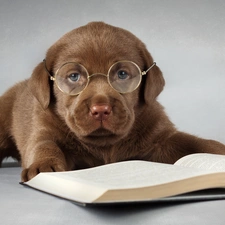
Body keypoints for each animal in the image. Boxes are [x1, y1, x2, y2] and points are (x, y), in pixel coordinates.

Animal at [1, 22, 225, 182]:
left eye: (122, 74)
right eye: (74, 76)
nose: (100, 109)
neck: (105, 145)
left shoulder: (160, 137)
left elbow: (191, 142)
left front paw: (218, 152)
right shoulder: (43, 128)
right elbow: (44, 145)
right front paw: (44, 166)